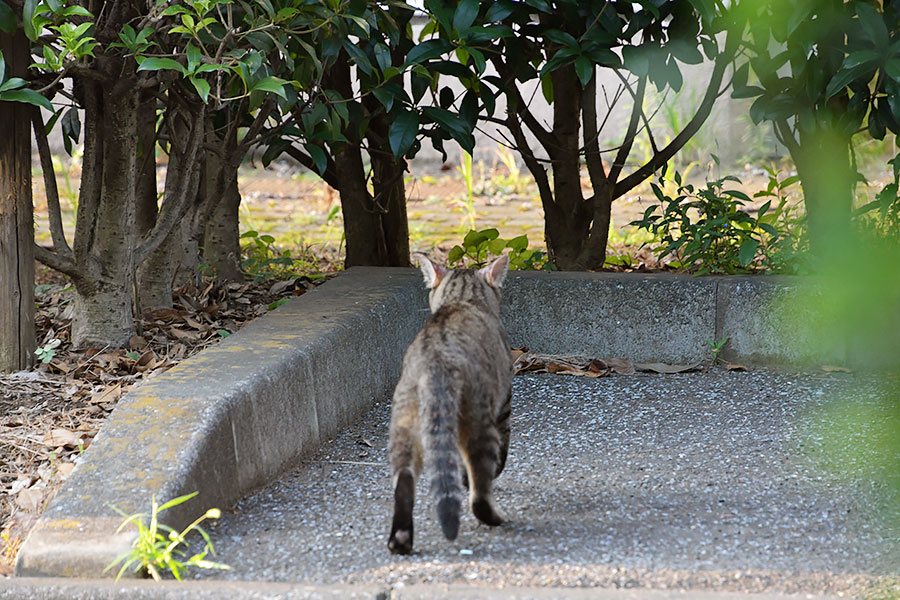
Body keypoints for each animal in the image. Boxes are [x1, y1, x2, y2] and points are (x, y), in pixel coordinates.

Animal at [386, 253, 512, 552]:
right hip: (479, 419)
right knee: (479, 492)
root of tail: (436, 362)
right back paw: (494, 516)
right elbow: (501, 453)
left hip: (403, 424)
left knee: (403, 479)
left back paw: (400, 540)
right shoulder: (504, 405)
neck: (463, 300)